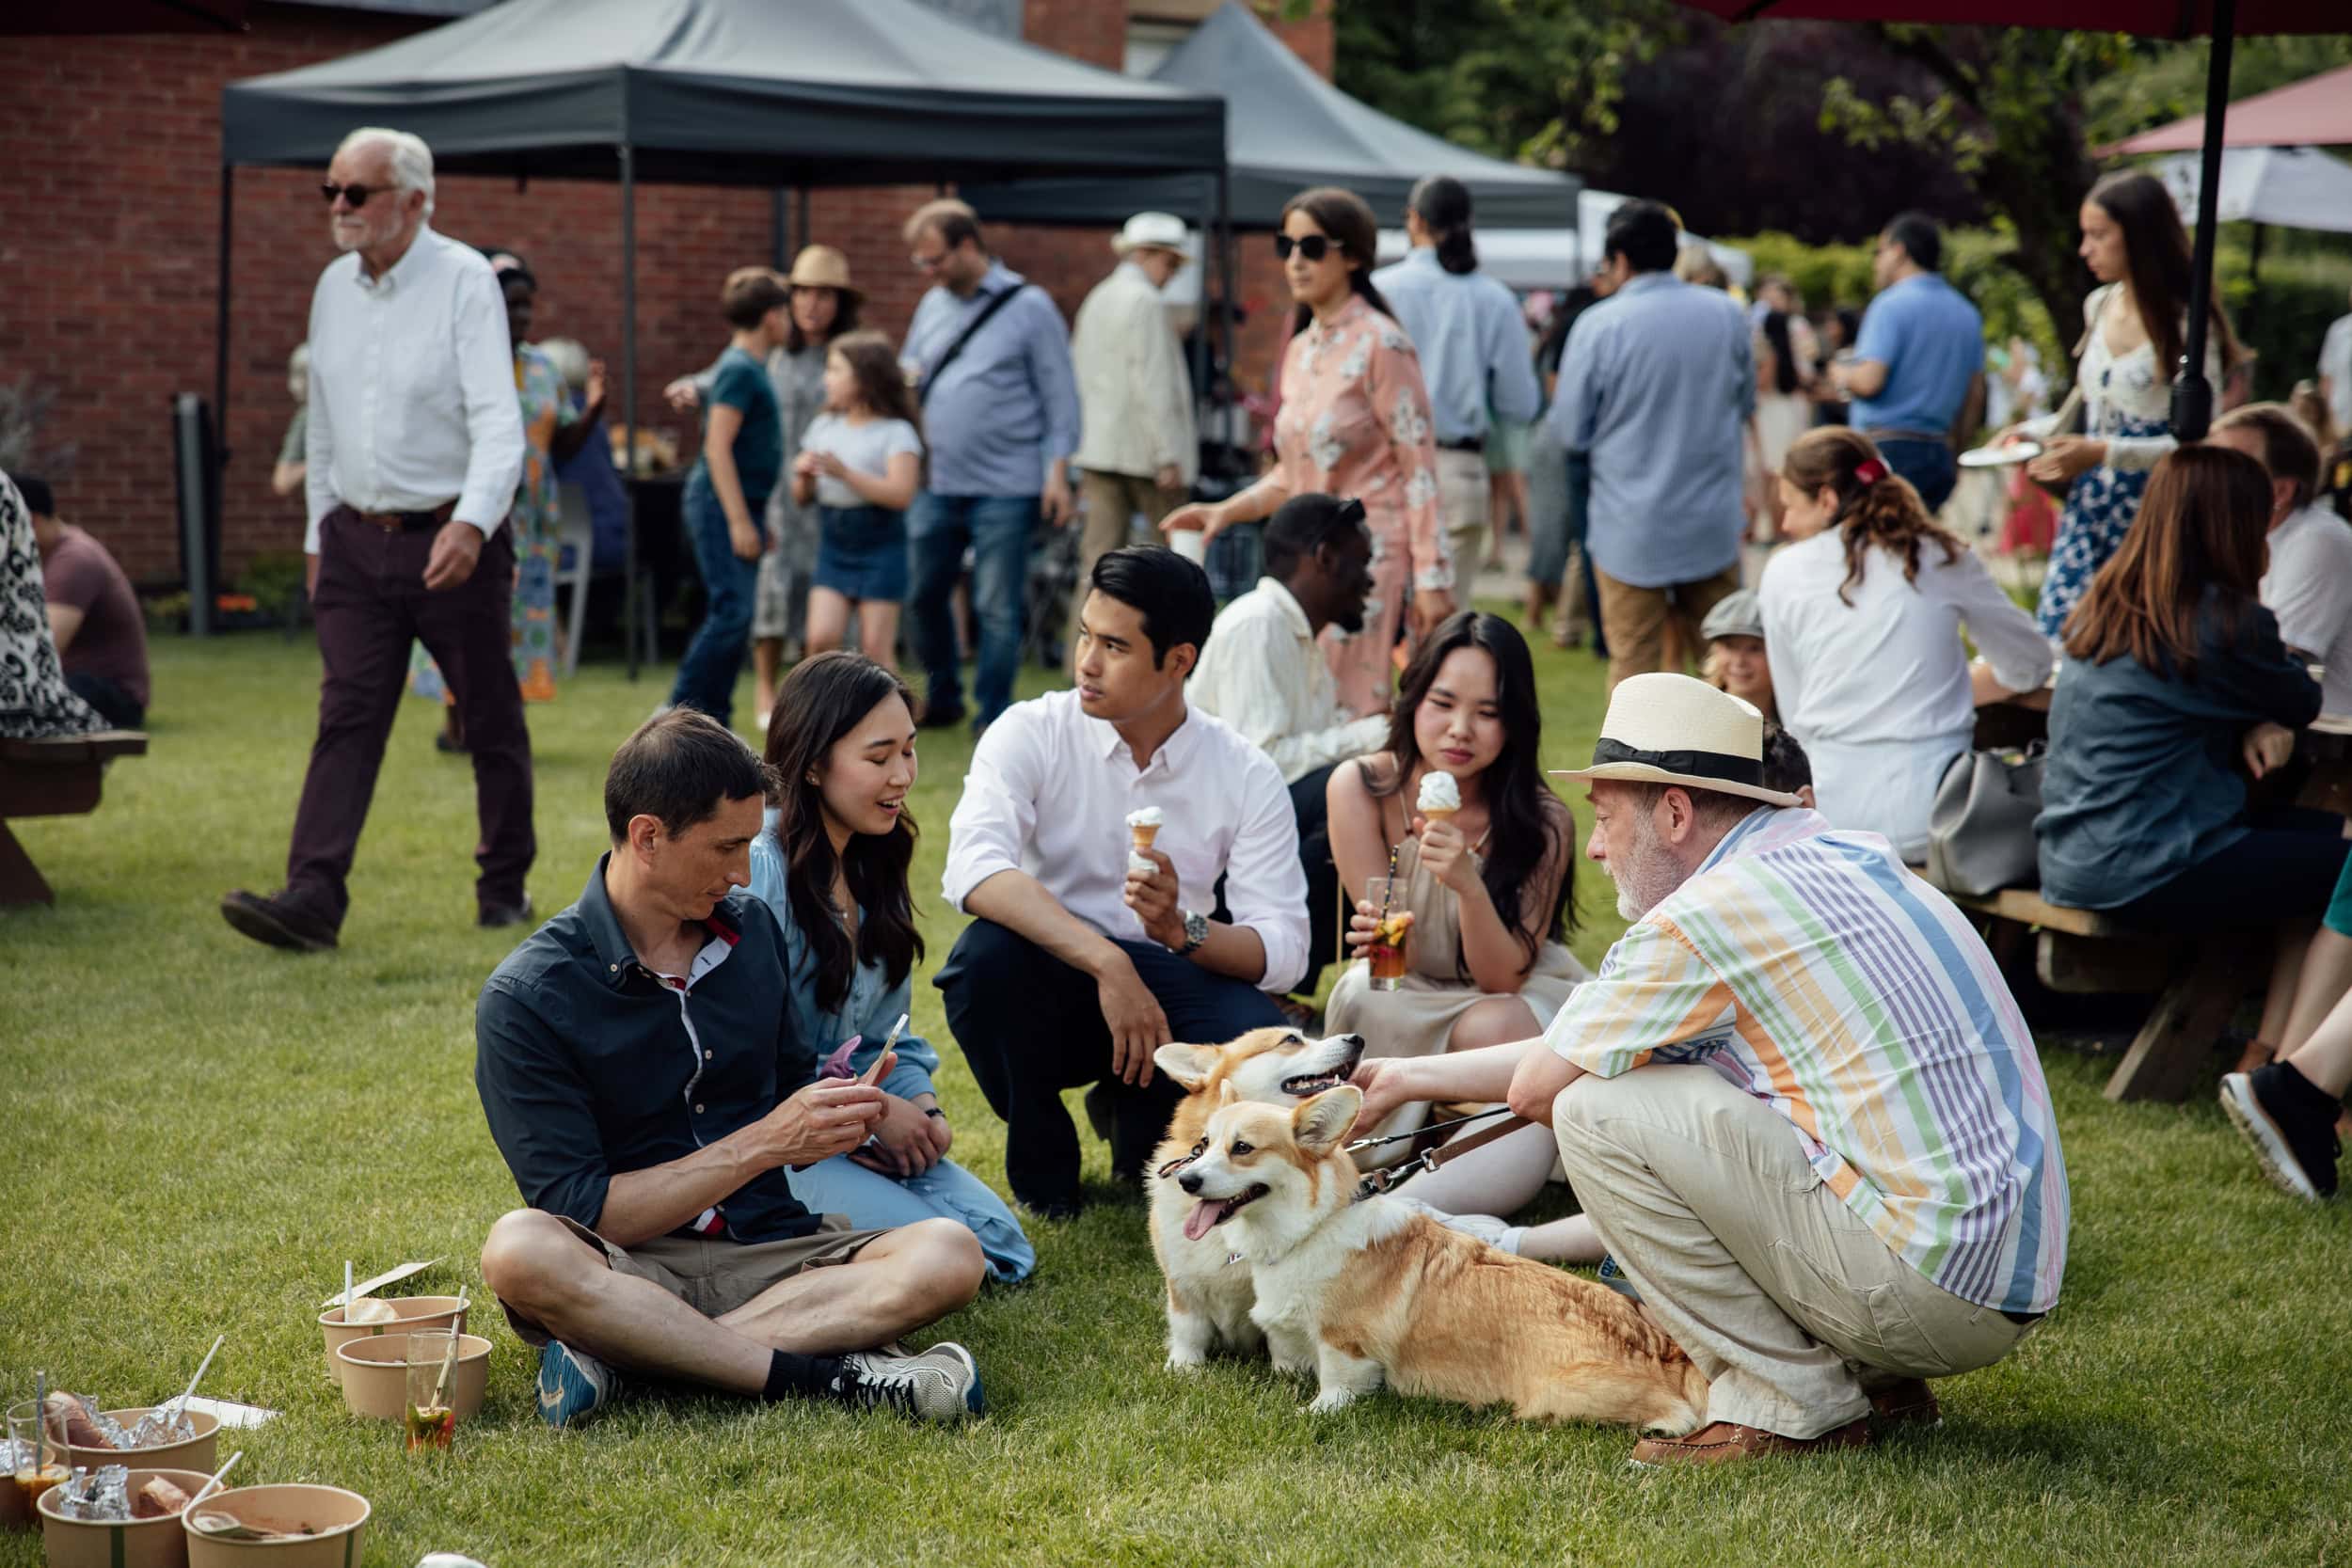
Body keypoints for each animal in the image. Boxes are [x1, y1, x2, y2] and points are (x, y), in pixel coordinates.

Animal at [1147, 1027, 1366, 1370]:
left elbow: (1281, 1335)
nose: (1358, 1039)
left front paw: (1284, 1371)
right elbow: (1188, 1330)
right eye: (1291, 1039)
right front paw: (1183, 1368)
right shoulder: (1181, 1285)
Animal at [1175, 1082, 1711, 1431]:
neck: (1307, 1231)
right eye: (1203, 1145)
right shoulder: (1286, 1337)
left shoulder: (1344, 1346)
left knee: (1677, 1417)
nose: (1185, 1180)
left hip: (1559, 1397)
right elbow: (1286, 1361)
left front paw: (1312, 1412)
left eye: (1243, 1148)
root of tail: (1665, 1348)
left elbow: (1336, 1386)